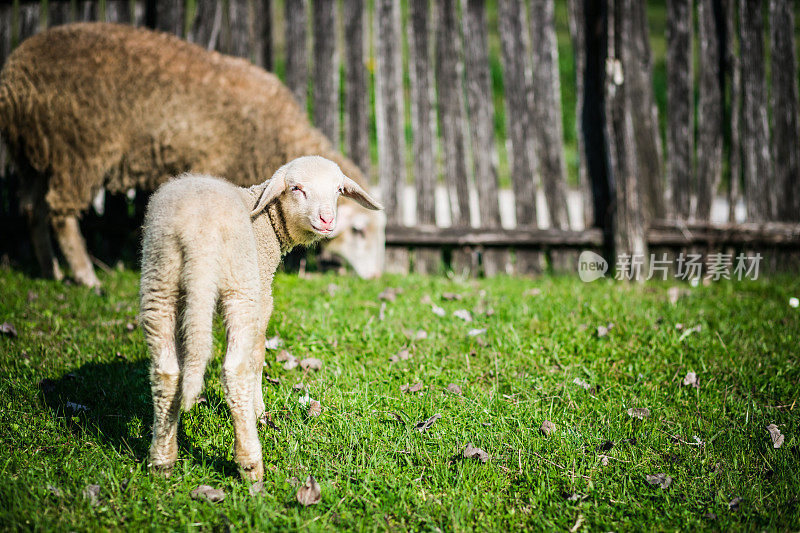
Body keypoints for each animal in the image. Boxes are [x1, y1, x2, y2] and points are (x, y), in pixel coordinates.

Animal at [0, 22, 384, 286]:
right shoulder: (211, 163)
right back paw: (85, 276)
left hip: (34, 155)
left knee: (33, 210)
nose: (376, 278)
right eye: (359, 231)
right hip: (78, 148)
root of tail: (15, 77)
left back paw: (51, 272)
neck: (267, 134)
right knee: (60, 213)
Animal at [139, 154, 382, 478]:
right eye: (296, 188)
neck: (268, 221)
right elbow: (257, 355)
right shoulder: (262, 295)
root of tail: (197, 234)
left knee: (166, 371)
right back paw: (251, 463)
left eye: (337, 190)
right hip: (239, 284)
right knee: (235, 369)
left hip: (159, 279)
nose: (327, 220)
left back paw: (162, 460)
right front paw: (259, 411)